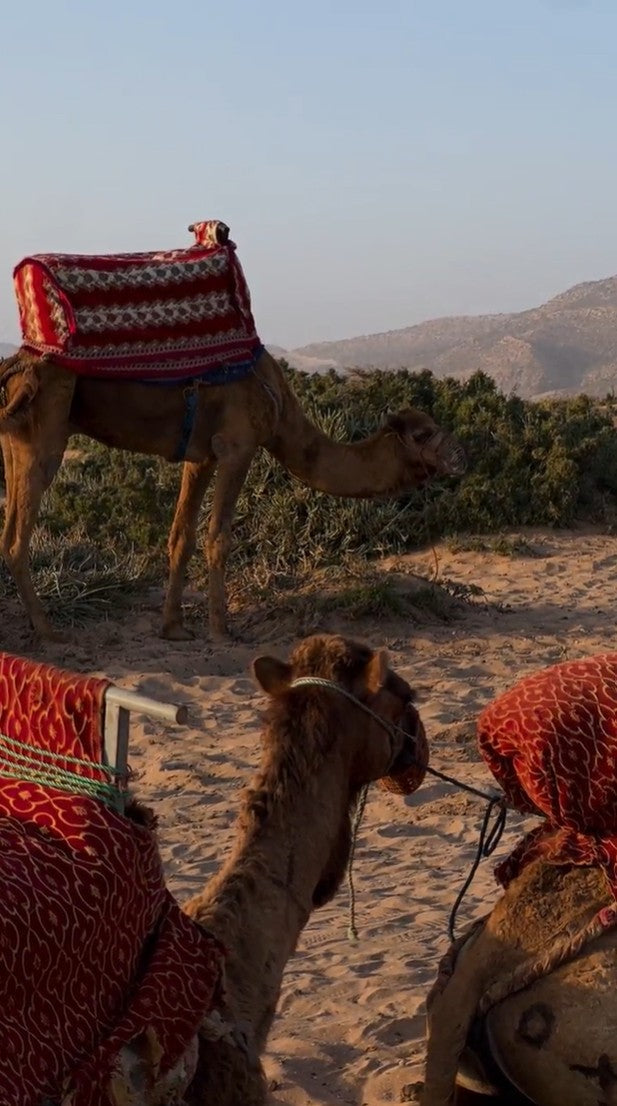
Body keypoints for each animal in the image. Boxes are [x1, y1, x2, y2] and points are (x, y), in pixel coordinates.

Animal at [0, 348, 465, 641]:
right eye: (423, 434)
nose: (459, 455)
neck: (283, 412)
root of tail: (15, 366)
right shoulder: (238, 445)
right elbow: (219, 537)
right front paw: (222, 630)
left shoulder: (201, 455)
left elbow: (181, 536)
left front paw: (174, 629)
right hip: (46, 429)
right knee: (19, 537)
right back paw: (49, 631)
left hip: (13, 438)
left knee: (8, 532)